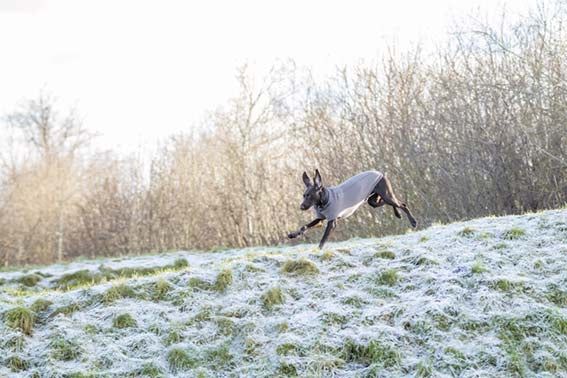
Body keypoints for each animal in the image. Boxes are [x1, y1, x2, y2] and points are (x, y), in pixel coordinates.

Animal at [288, 171, 418, 248]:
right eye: (304, 195)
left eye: (310, 195)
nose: (301, 207)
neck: (324, 200)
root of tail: (380, 173)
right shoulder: (320, 219)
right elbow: (303, 227)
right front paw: (293, 234)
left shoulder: (332, 221)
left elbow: (323, 239)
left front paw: (318, 250)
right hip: (374, 200)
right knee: (391, 203)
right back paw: (398, 214)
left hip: (386, 195)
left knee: (403, 204)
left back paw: (413, 221)